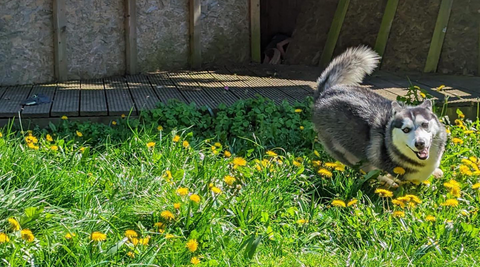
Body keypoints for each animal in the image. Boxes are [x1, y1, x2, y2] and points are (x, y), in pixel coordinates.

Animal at [314, 45, 448, 186]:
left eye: (425, 124)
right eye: (406, 129)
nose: (420, 143)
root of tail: (325, 93)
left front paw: (436, 172)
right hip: (345, 152)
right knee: (366, 170)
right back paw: (386, 181)